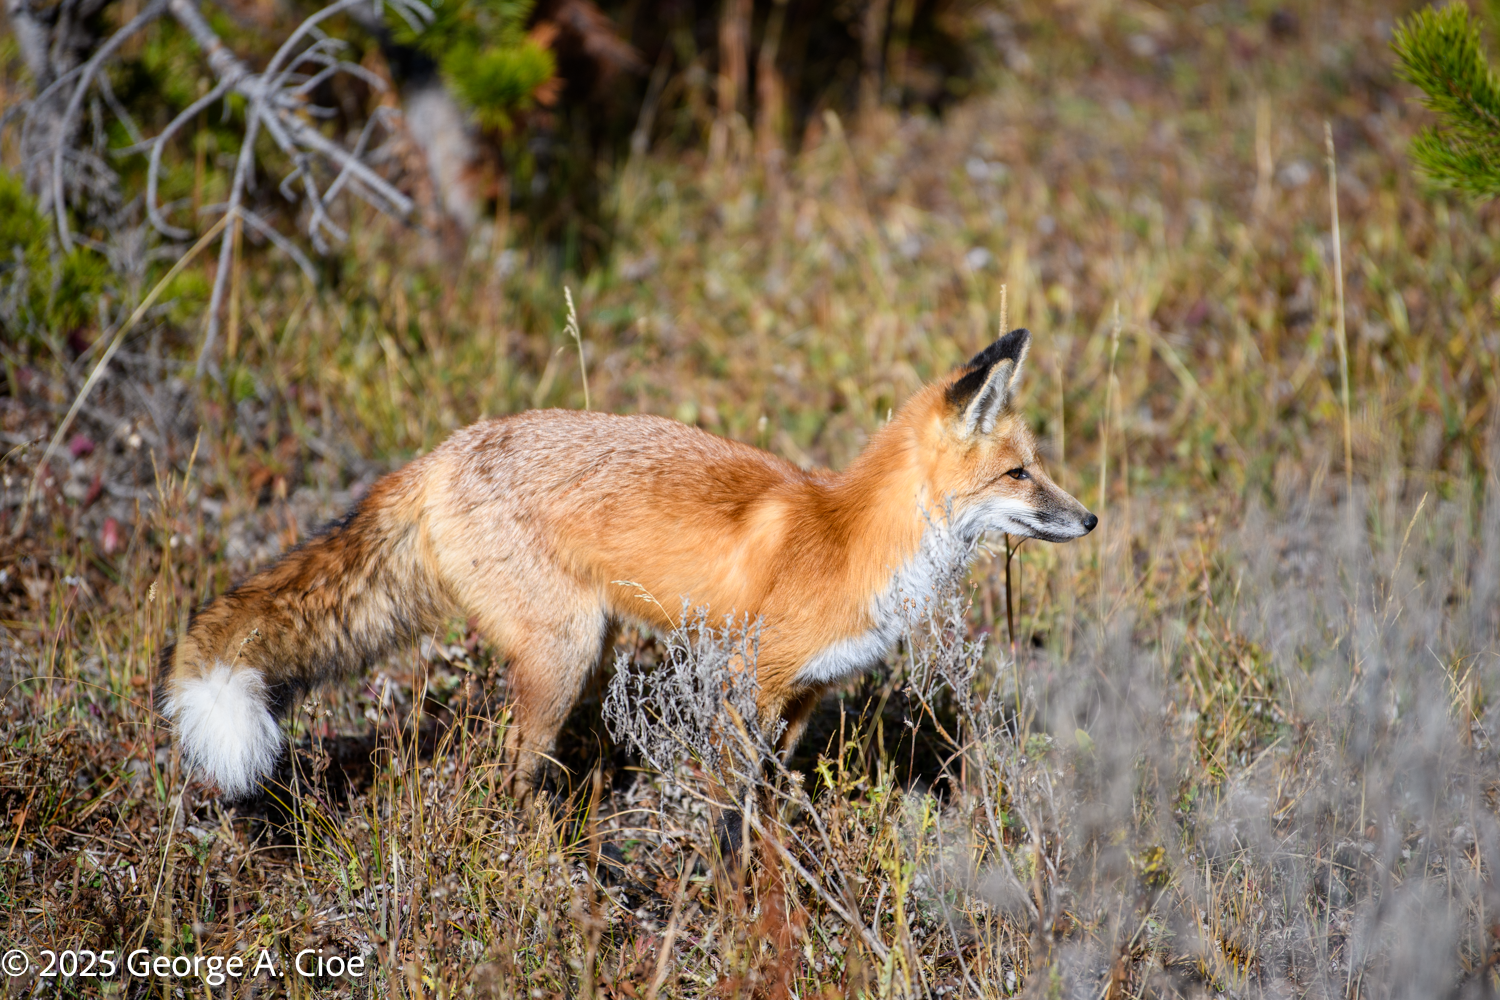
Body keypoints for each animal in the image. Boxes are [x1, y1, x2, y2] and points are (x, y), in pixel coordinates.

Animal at [161, 327, 1096, 800]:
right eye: (1019, 474)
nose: (1089, 517)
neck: (852, 535)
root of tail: (440, 453)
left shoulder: (803, 699)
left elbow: (775, 794)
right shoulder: (747, 683)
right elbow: (734, 807)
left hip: (591, 646)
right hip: (563, 654)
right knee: (509, 776)